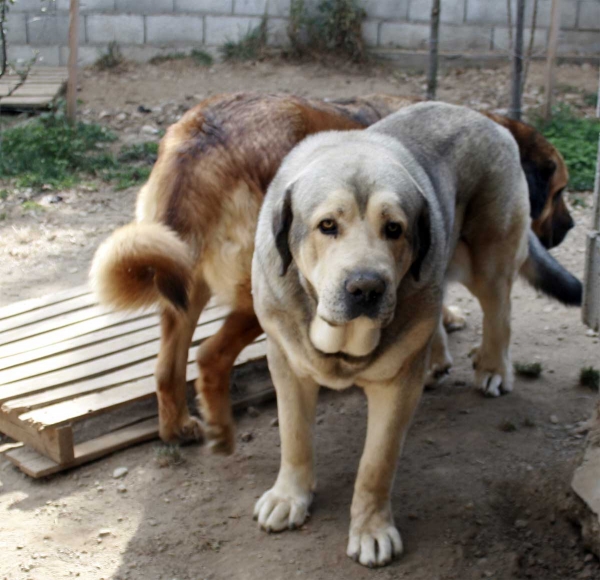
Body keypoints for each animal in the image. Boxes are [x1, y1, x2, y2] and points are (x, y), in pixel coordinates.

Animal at [90, 92, 580, 454]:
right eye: (559, 192)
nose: (571, 227)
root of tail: (201, 143)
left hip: (181, 284)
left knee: (167, 366)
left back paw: (177, 427)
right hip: (261, 295)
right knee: (210, 355)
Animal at [251, 101, 580, 568]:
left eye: (395, 228)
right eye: (327, 225)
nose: (366, 288)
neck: (344, 337)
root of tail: (486, 117)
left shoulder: (394, 390)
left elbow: (376, 464)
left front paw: (371, 530)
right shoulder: (288, 365)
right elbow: (294, 437)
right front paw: (289, 496)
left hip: (489, 260)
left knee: (500, 312)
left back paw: (493, 368)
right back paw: (436, 360)